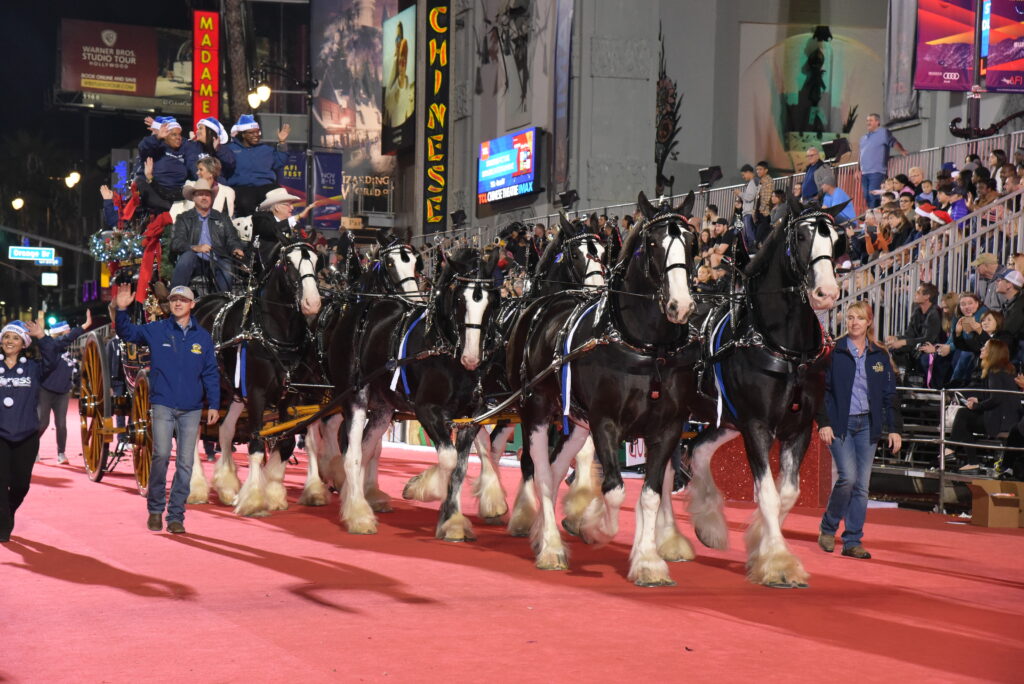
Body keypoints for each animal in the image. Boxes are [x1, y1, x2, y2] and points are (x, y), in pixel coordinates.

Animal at [189, 239, 323, 511]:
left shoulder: (290, 397)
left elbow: (286, 442)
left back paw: (227, 486)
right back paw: (196, 487)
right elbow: (257, 443)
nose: (312, 303)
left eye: (317, 261)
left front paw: (272, 492)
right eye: (288, 263)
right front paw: (253, 498)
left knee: (225, 430)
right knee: (195, 431)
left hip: (232, 392)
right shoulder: (258, 394)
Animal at [317, 248, 497, 536]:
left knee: (365, 449)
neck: (442, 348)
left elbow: (460, 467)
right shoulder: (427, 411)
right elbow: (448, 459)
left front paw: (452, 520)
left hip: (382, 409)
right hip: (354, 396)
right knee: (352, 453)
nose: (471, 358)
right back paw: (358, 515)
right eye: (460, 299)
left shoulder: (471, 417)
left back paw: (356, 498)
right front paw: (420, 487)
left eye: (491, 301)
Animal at [505, 192, 704, 581]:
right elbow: (614, 490)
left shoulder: (669, 428)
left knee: (553, 468)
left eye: (693, 243)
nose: (681, 305)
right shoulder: (606, 422)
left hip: (574, 422)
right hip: (535, 408)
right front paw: (592, 526)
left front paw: (647, 560)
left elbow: (651, 494)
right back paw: (550, 545)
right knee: (540, 472)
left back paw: (541, 532)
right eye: (653, 244)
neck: (647, 347)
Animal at [684, 197, 843, 589]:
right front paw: (778, 564)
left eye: (837, 239)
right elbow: (768, 495)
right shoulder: (756, 426)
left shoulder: (798, 429)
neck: (783, 347)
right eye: (801, 236)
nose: (827, 294)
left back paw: (707, 525)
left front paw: (760, 544)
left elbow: (788, 494)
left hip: (722, 419)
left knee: (696, 450)